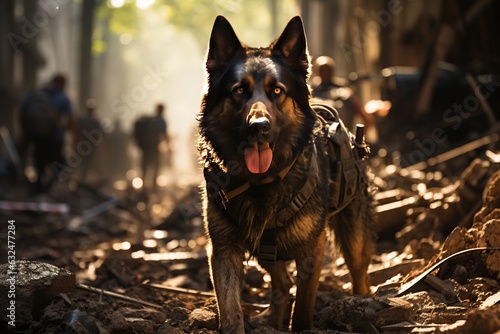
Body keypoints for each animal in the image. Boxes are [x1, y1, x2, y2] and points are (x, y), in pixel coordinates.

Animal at [197, 16, 374, 334]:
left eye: (277, 91)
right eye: (239, 90)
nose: (259, 127)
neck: (261, 183)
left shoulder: (311, 252)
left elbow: (303, 309)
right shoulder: (223, 251)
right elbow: (230, 310)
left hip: (354, 241)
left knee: (360, 278)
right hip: (267, 251)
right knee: (283, 284)